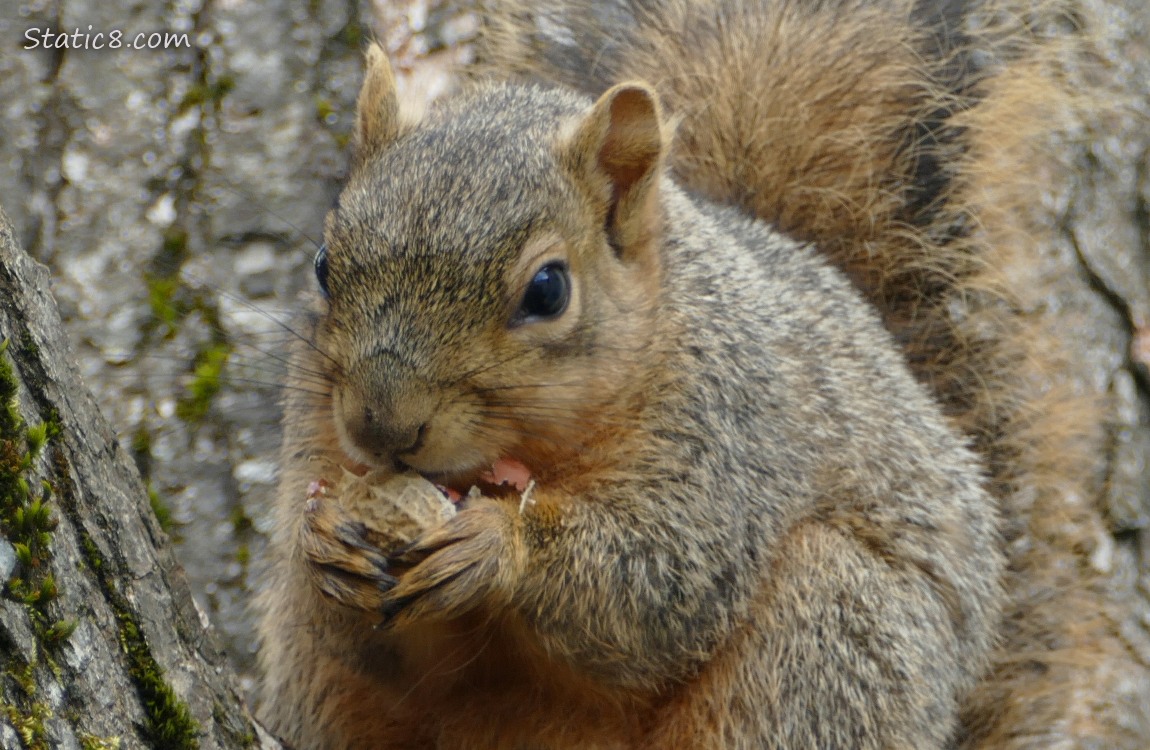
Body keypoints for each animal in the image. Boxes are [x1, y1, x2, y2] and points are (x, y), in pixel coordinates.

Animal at [254, 1, 1131, 750]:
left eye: (548, 290)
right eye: (324, 263)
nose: (382, 423)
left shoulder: (728, 436)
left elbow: (661, 582)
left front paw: (499, 545)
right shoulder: (313, 425)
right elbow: (373, 644)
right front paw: (324, 542)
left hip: (832, 632)